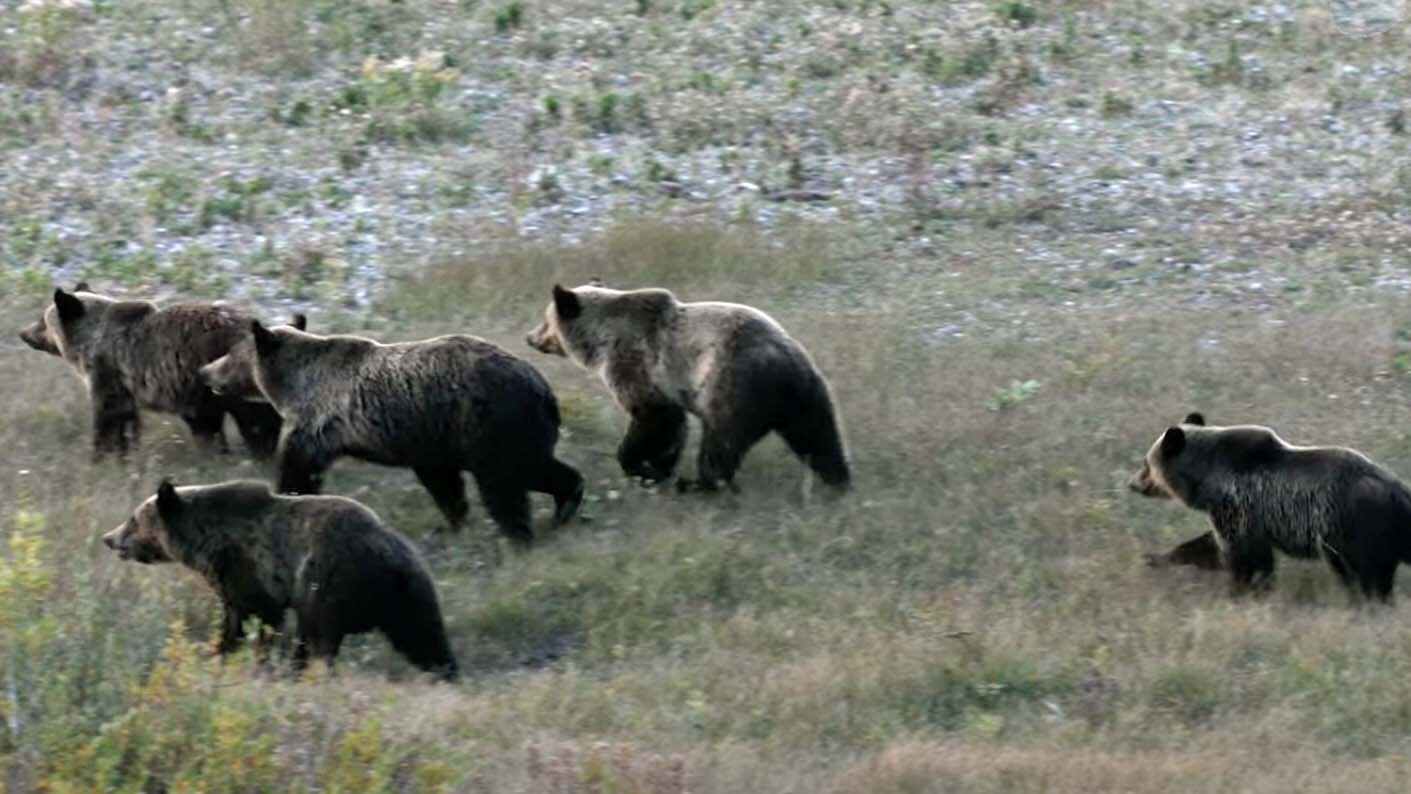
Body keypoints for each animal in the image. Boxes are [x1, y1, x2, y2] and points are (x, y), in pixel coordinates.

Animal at [18, 284, 290, 460]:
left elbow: (106, 416)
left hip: (225, 375)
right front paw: (126, 452)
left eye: (42, 320)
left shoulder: (107, 373)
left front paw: (100, 455)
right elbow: (128, 420)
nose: (23, 333)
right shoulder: (125, 386)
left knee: (252, 418)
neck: (89, 343)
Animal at [102, 479, 458, 680]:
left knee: (320, 636)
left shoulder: (249, 572)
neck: (208, 544)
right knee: (425, 637)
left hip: (327, 581)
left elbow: (256, 619)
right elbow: (234, 619)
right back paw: (446, 674)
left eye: (133, 519)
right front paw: (219, 652)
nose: (108, 538)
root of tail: (390, 551)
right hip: (410, 594)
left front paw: (245, 659)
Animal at [198, 322, 584, 548]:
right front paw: (453, 522)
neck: (293, 385)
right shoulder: (429, 441)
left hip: (489, 424)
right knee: (538, 467)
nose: (205, 371)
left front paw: (288, 494)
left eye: (229, 354)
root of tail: (541, 388)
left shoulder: (318, 421)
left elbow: (299, 467)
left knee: (505, 481)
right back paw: (565, 505)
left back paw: (520, 533)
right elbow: (443, 484)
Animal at [525, 283, 851, 494]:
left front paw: (639, 466)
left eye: (545, 319)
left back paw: (700, 485)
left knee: (720, 443)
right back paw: (839, 480)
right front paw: (659, 470)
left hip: (731, 386)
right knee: (819, 437)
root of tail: (785, 363)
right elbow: (672, 431)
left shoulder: (637, 365)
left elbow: (653, 420)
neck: (601, 338)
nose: (530, 337)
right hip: (807, 395)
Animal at [1129, 412, 1411, 600]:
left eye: (1146, 464)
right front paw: (1154, 557)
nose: (1132, 483)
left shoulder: (1239, 507)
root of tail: (1398, 489)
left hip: (1355, 526)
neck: (1209, 479)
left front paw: (1243, 590)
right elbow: (1210, 546)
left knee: (1367, 574)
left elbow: (1242, 557)